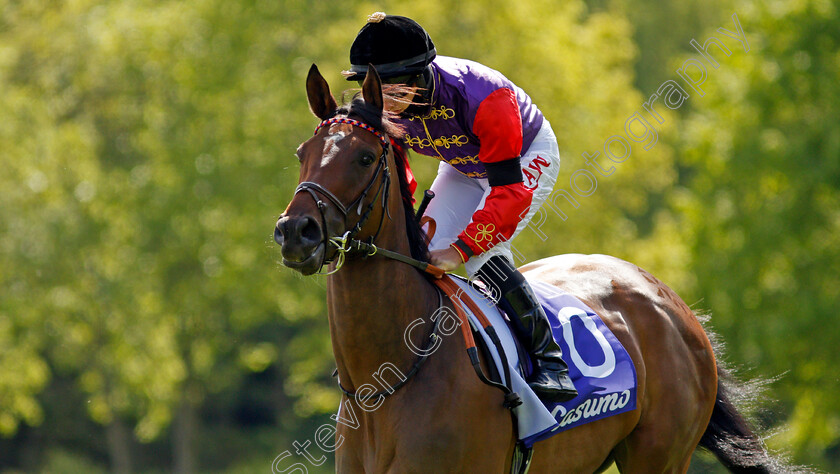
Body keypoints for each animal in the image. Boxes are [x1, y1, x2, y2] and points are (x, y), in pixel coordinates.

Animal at [276, 64, 788, 474]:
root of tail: (669, 299)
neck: (386, 382)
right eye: (302, 153)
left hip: (659, 457)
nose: (296, 231)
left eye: (364, 157)